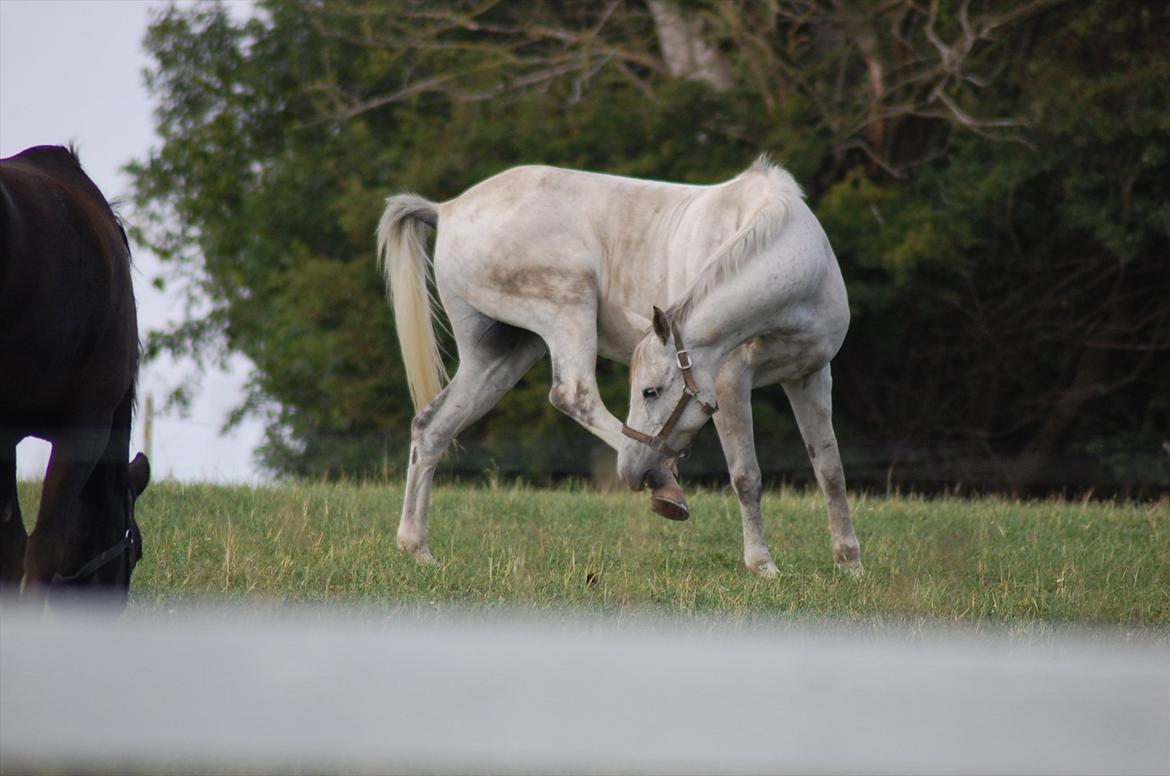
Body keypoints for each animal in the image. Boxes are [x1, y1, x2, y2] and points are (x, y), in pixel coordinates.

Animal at [379, 158, 865, 575]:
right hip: (568, 309)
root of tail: (448, 210)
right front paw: (762, 565)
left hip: (501, 353)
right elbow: (747, 476)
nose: (632, 472)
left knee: (432, 428)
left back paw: (416, 548)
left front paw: (849, 564)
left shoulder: (811, 376)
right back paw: (664, 483)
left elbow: (830, 469)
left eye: (650, 391)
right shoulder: (729, 383)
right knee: (574, 395)